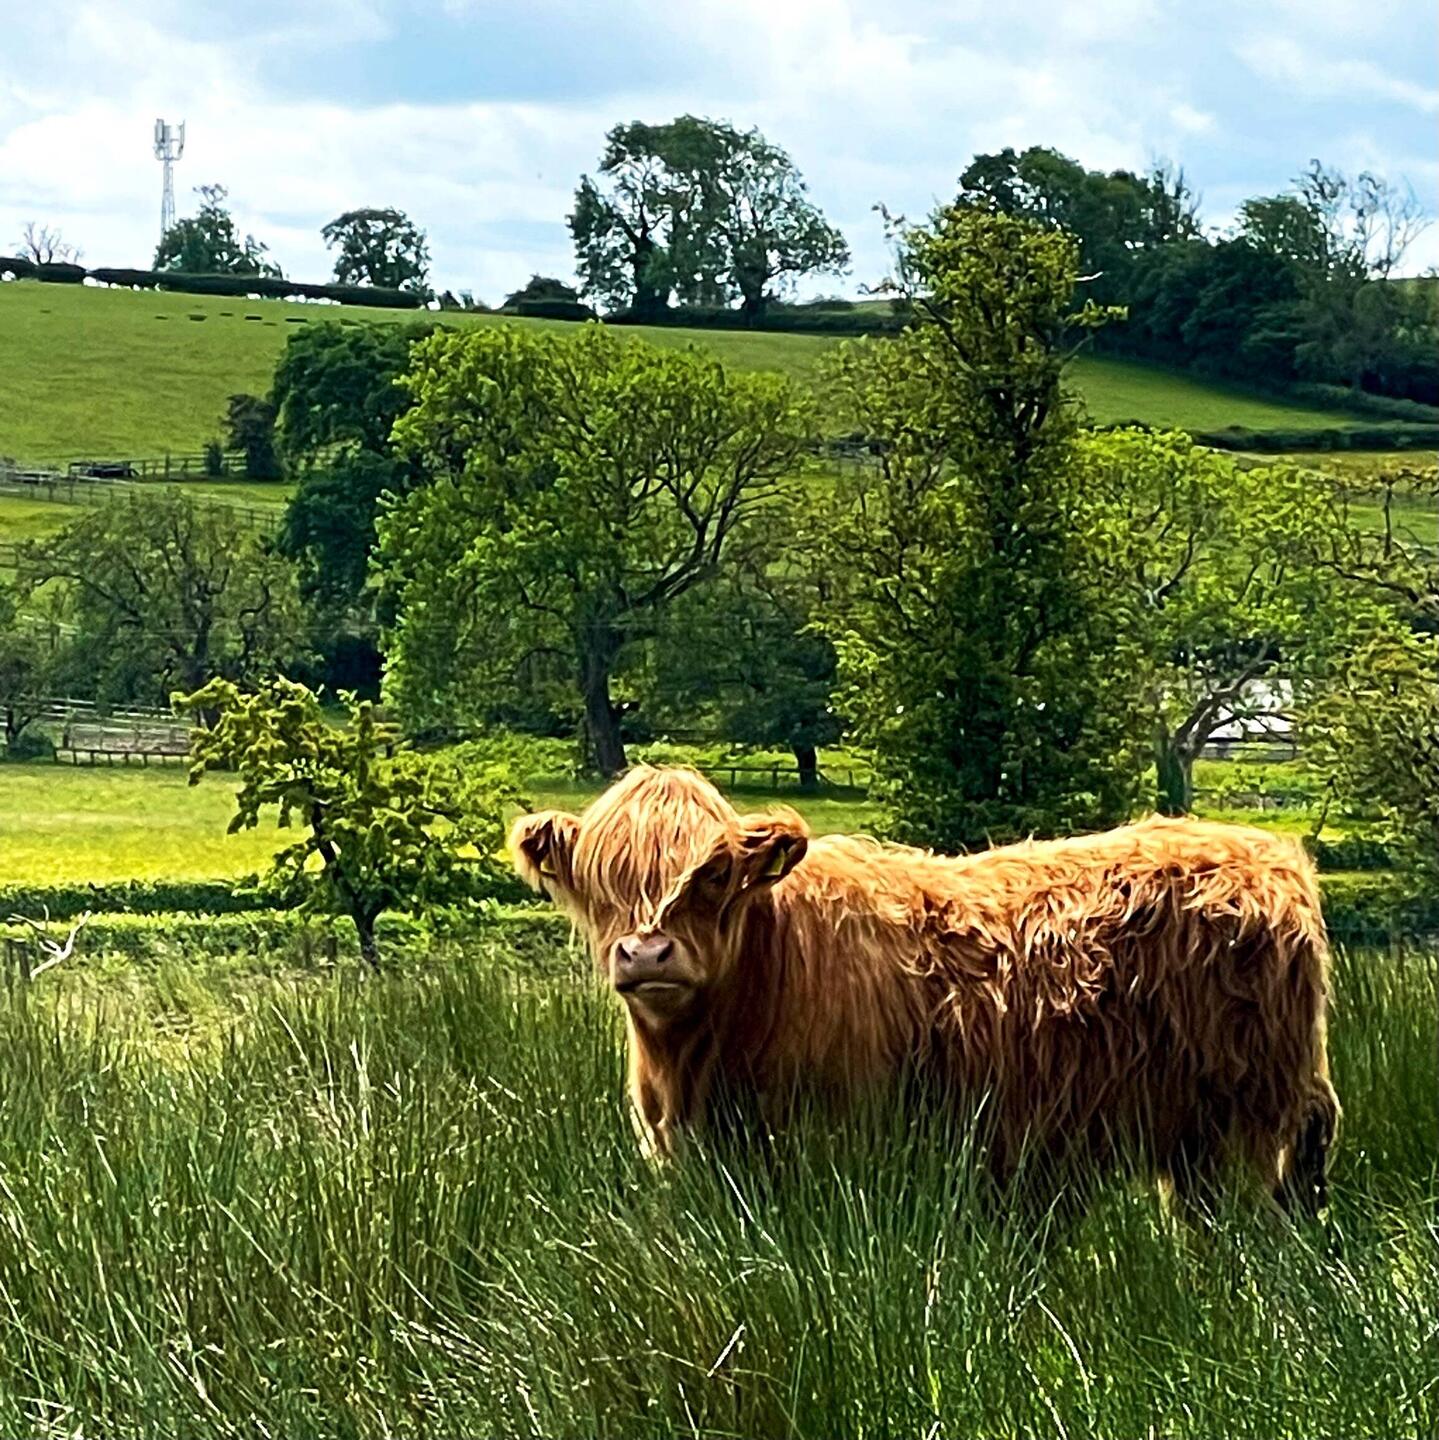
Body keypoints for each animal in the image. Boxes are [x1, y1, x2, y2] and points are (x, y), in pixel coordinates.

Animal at [510, 766, 1338, 1213]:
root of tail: (1269, 857)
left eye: (712, 874)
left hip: (1237, 1133)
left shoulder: (835, 1153)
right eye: (600, 880)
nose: (646, 952)